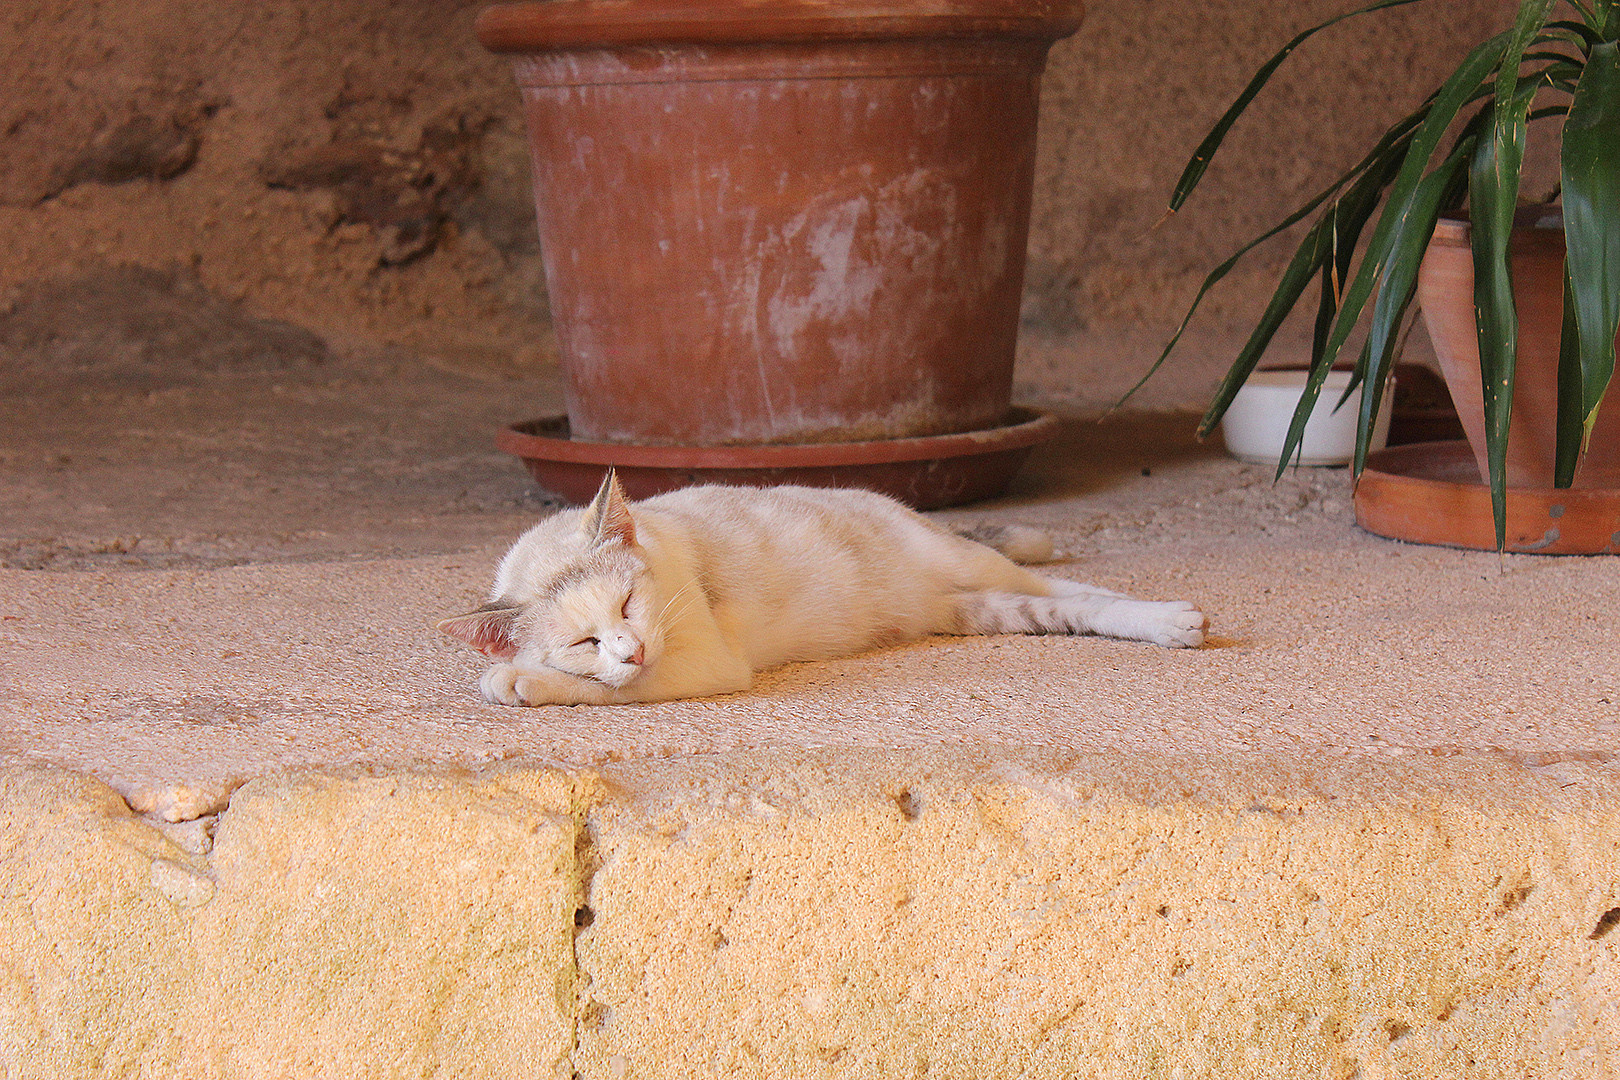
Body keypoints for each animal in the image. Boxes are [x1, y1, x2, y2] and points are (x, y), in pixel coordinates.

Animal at [437, 469, 1211, 705]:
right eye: (583, 639)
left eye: (628, 604)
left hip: (980, 566)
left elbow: (608, 691)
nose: (630, 649)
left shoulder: (708, 662)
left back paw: (1174, 618)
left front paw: (520, 681)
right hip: (985, 608)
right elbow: (602, 681)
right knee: (1065, 606)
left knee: (1079, 585)